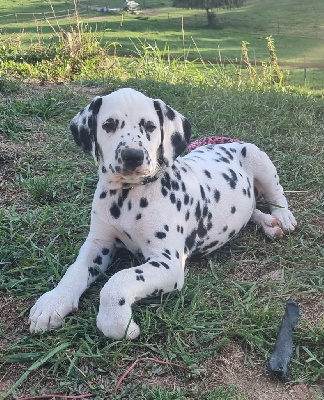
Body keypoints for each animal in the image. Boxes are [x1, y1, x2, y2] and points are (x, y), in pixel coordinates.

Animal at [29, 87, 298, 338]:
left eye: (149, 126)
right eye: (108, 124)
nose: (132, 156)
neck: (127, 196)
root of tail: (229, 142)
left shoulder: (168, 263)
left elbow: (117, 281)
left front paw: (118, 323)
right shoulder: (99, 244)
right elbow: (74, 270)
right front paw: (53, 302)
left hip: (259, 160)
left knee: (276, 194)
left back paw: (282, 217)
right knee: (252, 210)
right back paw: (269, 223)